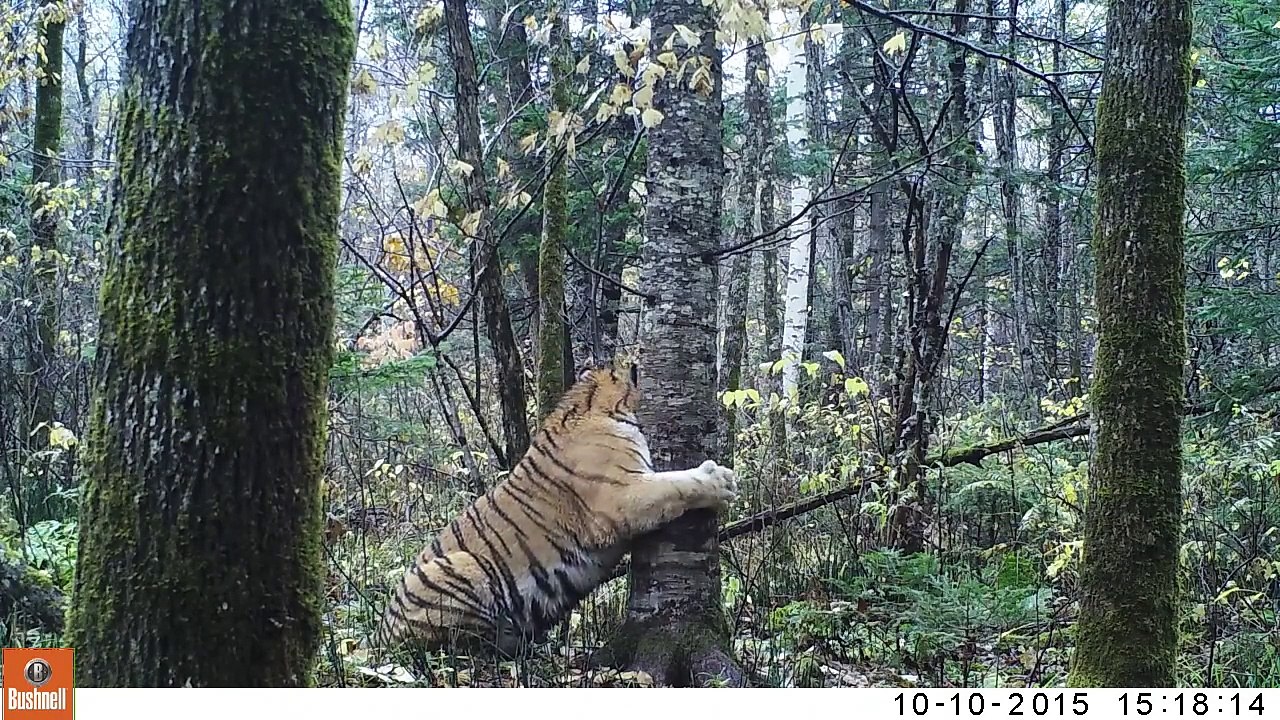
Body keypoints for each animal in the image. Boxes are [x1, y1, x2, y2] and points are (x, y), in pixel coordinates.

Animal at [371, 359, 739, 657]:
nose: (634, 358)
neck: (595, 405)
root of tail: (379, 639)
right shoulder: (621, 496)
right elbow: (674, 484)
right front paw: (719, 479)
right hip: (462, 566)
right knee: (462, 647)